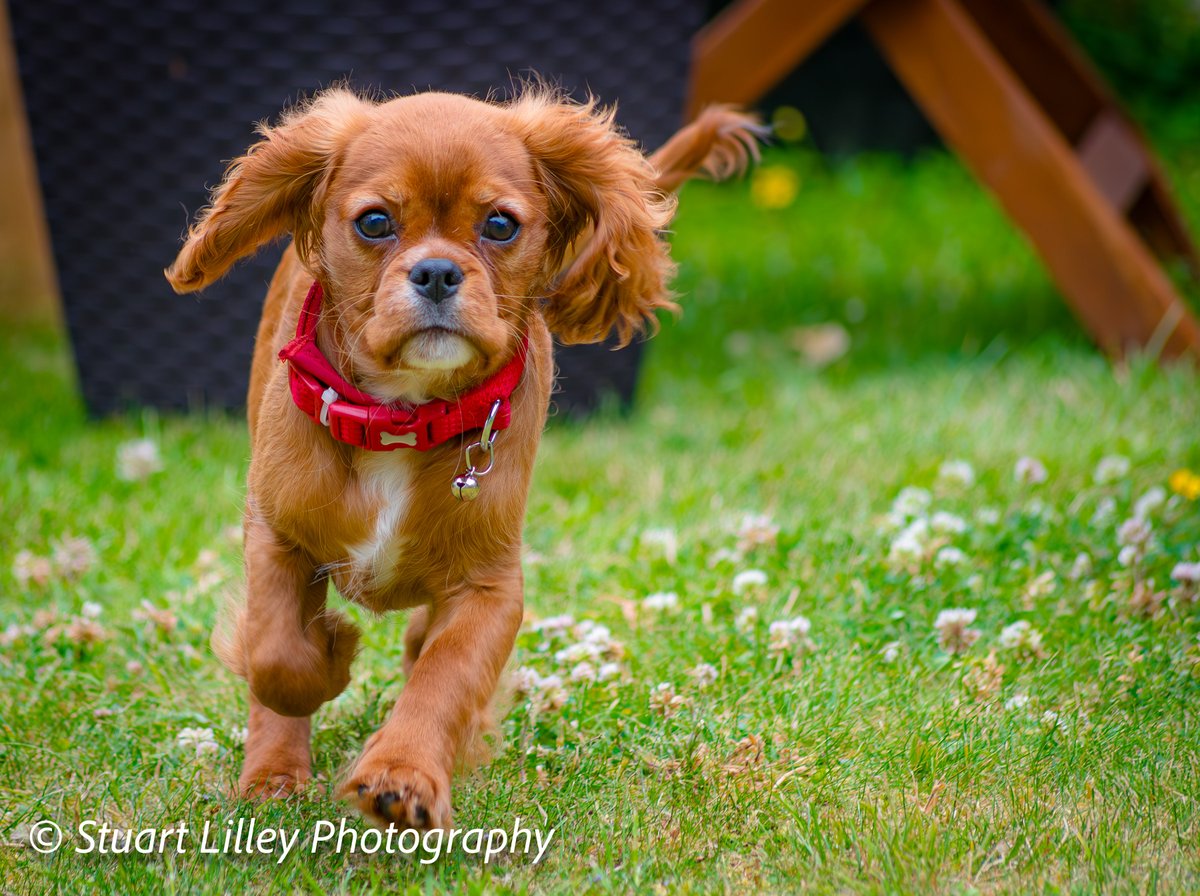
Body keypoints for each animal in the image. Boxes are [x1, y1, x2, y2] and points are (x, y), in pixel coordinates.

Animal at [165, 82, 763, 825]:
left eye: (501, 225)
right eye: (374, 222)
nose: (438, 272)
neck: (402, 416)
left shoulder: (489, 588)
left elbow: (444, 676)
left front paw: (403, 776)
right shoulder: (275, 535)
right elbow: (276, 657)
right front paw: (331, 653)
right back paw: (273, 778)